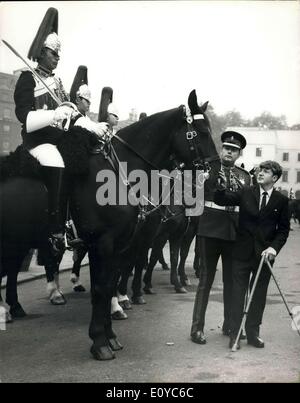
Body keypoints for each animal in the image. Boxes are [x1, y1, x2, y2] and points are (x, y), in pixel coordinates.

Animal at [1, 90, 219, 362]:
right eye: (201, 132)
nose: (218, 176)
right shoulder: (103, 244)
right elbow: (102, 288)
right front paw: (100, 341)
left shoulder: (121, 245)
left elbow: (110, 284)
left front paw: (111, 335)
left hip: (17, 240)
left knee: (11, 269)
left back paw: (15, 306)